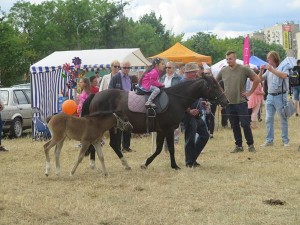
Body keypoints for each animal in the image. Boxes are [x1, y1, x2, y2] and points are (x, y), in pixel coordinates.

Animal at [88, 74, 227, 170]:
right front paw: (175, 166)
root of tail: (95, 96)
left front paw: (146, 163)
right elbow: (170, 148)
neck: (176, 99)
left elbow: (159, 149)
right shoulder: (169, 129)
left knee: (111, 145)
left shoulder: (161, 131)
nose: (225, 101)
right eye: (214, 86)